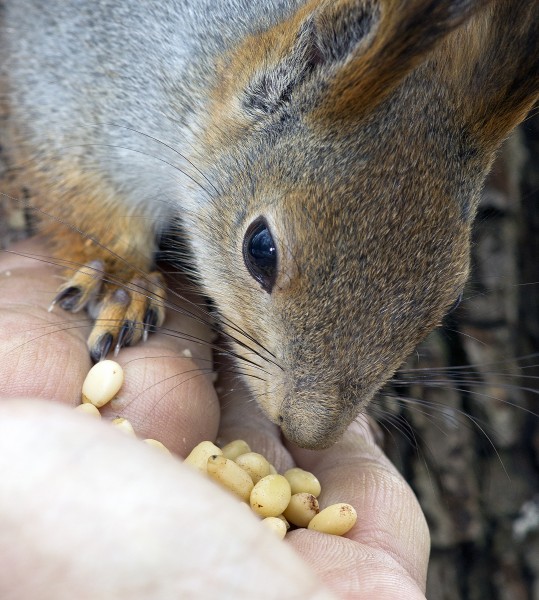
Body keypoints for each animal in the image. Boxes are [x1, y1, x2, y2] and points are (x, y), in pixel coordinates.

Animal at [1, 0, 539, 450]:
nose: (308, 434)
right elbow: (79, 197)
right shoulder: (67, 88)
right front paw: (122, 282)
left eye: (452, 295)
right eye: (260, 248)